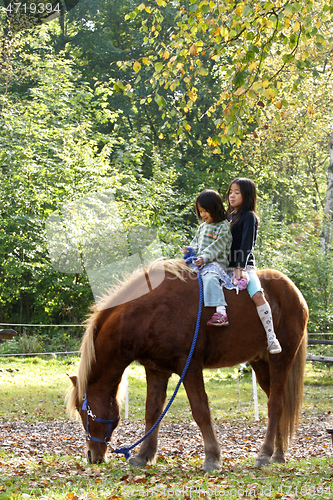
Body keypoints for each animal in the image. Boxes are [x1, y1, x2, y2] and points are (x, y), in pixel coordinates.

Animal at [67, 260, 308, 470]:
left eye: (83, 410)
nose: (92, 456)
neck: (150, 313)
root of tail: (293, 292)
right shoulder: (156, 370)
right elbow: (152, 412)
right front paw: (143, 455)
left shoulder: (190, 367)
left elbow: (200, 411)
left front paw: (212, 457)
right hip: (261, 363)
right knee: (278, 402)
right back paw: (278, 454)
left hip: (281, 359)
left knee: (275, 405)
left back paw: (265, 454)